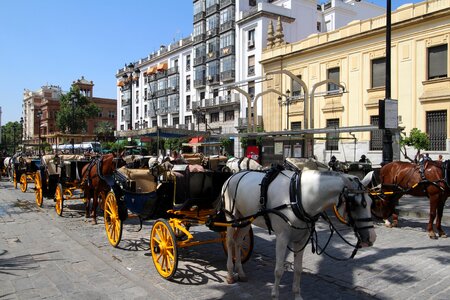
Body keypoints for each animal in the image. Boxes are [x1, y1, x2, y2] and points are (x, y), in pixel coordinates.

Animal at [222, 170, 376, 298]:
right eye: (354, 204)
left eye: (370, 202)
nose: (372, 238)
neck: (297, 197)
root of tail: (233, 175)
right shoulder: (282, 238)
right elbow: (279, 270)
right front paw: (275, 295)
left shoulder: (301, 240)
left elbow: (298, 270)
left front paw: (297, 295)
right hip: (231, 217)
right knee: (230, 242)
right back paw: (230, 273)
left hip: (246, 219)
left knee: (238, 242)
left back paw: (241, 272)